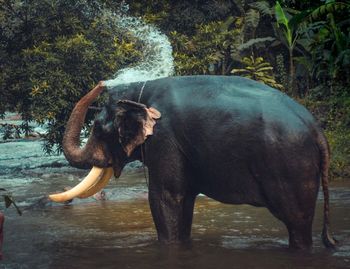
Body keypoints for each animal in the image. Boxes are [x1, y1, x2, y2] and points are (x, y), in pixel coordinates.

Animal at [49, 75, 336, 249]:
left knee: (297, 223)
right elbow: (183, 200)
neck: (141, 91)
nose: (101, 83)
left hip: (290, 166)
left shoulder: (165, 139)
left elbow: (165, 199)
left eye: (97, 129)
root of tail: (316, 130)